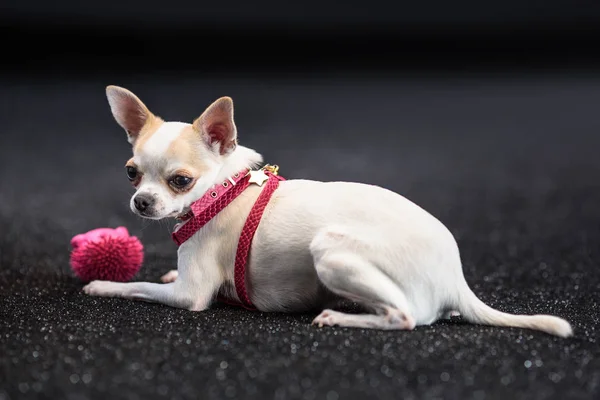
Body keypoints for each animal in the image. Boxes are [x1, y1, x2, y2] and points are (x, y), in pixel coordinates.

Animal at [82, 86, 576, 338]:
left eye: (180, 181)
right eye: (131, 173)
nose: (141, 202)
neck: (225, 189)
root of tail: (456, 281)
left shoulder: (190, 296)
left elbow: (139, 287)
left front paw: (104, 285)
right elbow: (161, 279)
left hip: (331, 251)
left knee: (406, 316)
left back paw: (341, 316)